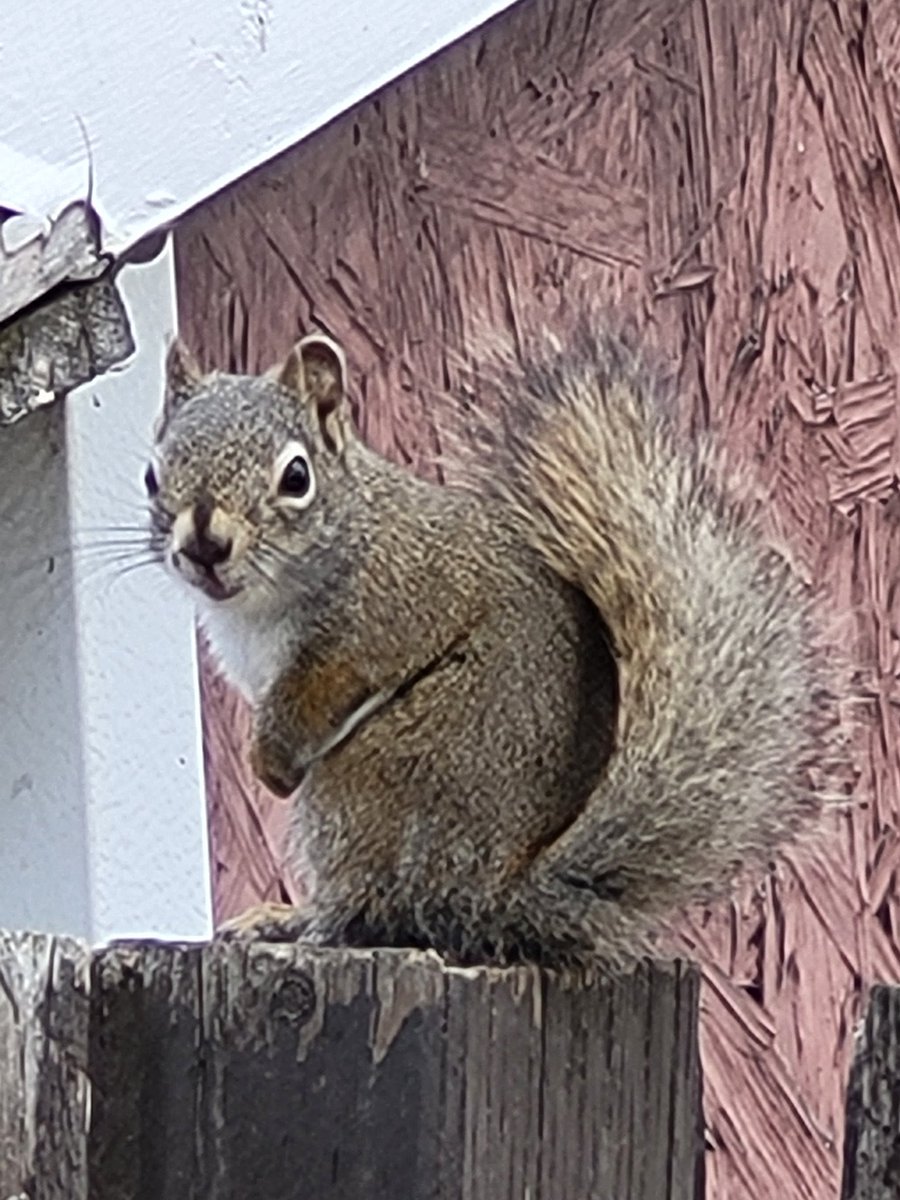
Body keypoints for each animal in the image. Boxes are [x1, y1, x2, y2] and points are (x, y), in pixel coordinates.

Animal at [146, 323, 836, 971]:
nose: (204, 543)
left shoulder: (383, 616)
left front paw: (271, 762)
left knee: (363, 907)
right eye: (152, 474)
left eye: (296, 477)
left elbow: (319, 690)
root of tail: (499, 892)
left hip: (367, 783)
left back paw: (295, 923)